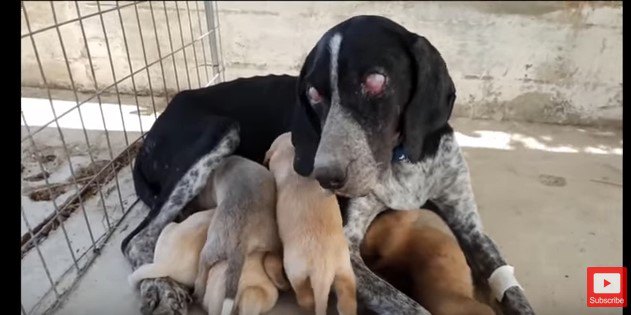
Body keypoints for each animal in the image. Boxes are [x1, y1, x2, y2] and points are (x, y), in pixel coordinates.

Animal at [264, 133, 358, 315]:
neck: (291, 154)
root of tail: (324, 271)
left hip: (296, 272)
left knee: (305, 297)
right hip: (345, 272)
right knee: (348, 301)